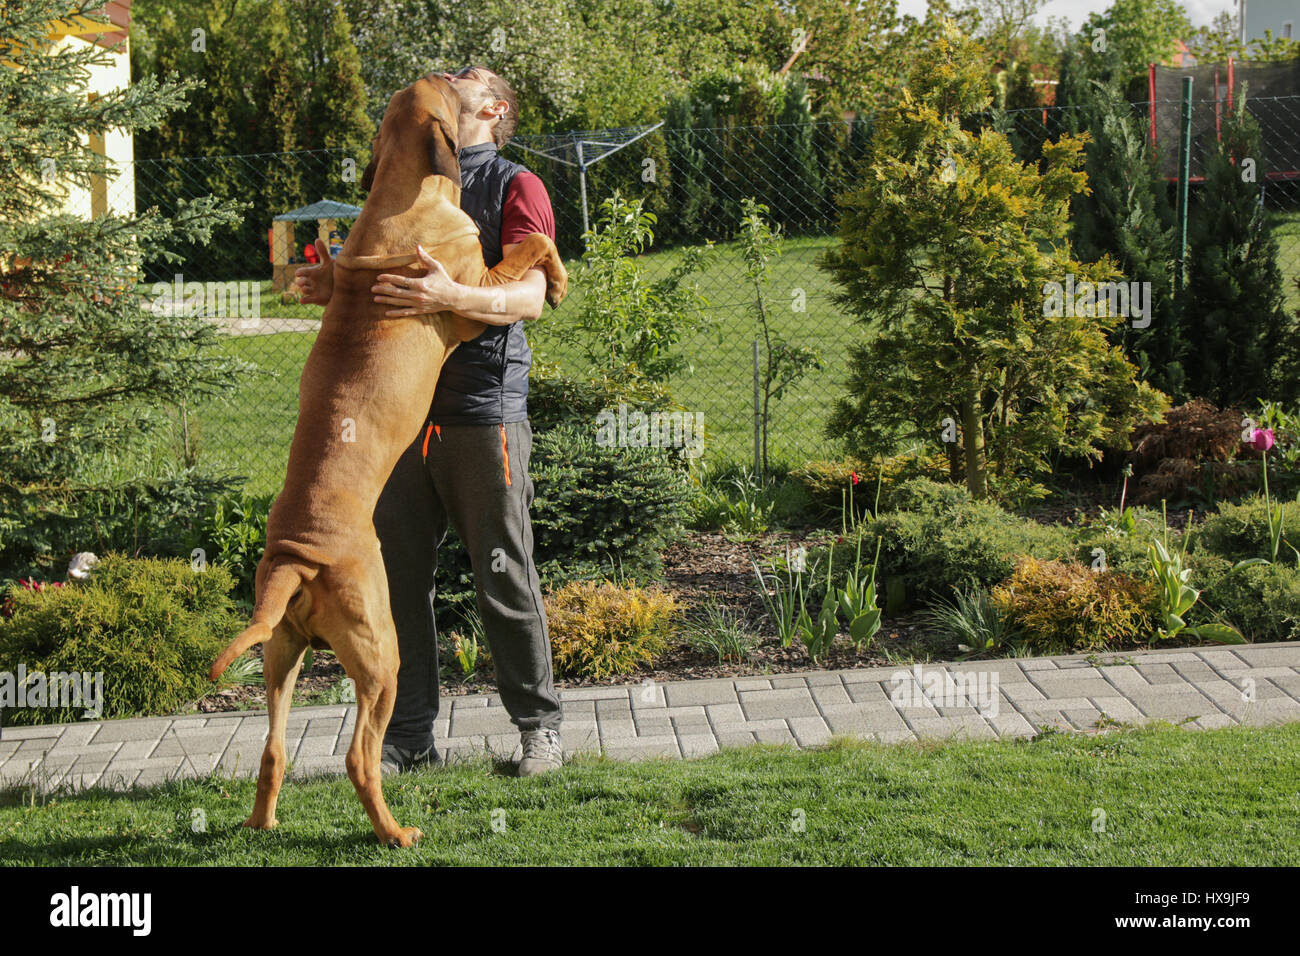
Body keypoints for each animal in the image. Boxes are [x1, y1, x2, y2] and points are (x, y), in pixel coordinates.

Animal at [208, 78, 564, 848]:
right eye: (456, 82)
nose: (476, 77)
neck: (406, 190)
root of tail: (297, 558)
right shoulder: (473, 293)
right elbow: (533, 239)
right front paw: (556, 282)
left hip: (280, 654)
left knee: (274, 750)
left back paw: (263, 824)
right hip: (379, 653)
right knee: (357, 756)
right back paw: (395, 833)